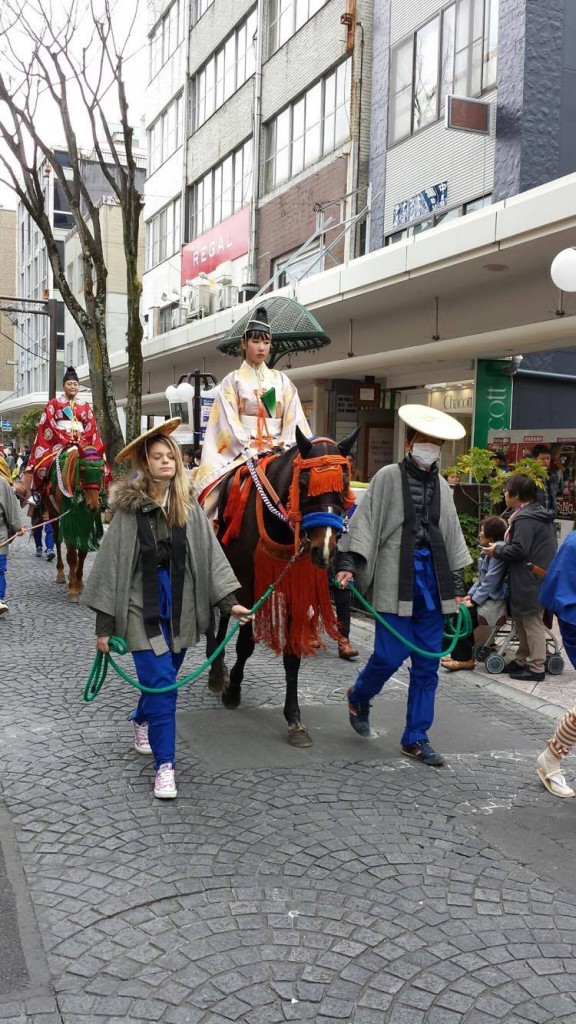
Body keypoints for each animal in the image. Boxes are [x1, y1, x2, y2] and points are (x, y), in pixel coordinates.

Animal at [206, 428, 358, 749]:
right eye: (303, 483)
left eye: (345, 483)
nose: (325, 550)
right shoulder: (248, 582)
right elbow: (246, 643)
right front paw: (232, 689)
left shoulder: (293, 587)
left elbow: (292, 655)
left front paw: (294, 718)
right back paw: (215, 669)